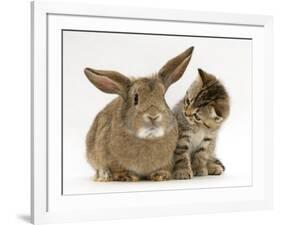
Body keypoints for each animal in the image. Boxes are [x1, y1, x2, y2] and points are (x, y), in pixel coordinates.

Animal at [83, 46, 192, 182]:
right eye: (135, 98)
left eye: (163, 97)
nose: (153, 116)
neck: (148, 138)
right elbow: (116, 169)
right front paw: (127, 176)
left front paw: (161, 175)